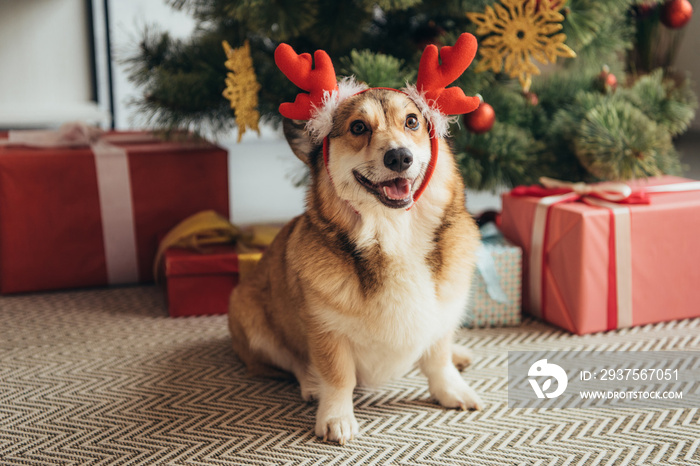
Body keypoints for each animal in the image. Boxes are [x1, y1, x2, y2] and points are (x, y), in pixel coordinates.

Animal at [231, 33, 486, 444]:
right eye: (358, 128)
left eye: (412, 121)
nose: (399, 157)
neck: (394, 234)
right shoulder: (325, 331)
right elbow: (337, 377)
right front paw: (336, 417)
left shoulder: (440, 317)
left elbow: (438, 360)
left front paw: (453, 390)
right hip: (251, 319)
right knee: (291, 361)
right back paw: (310, 385)